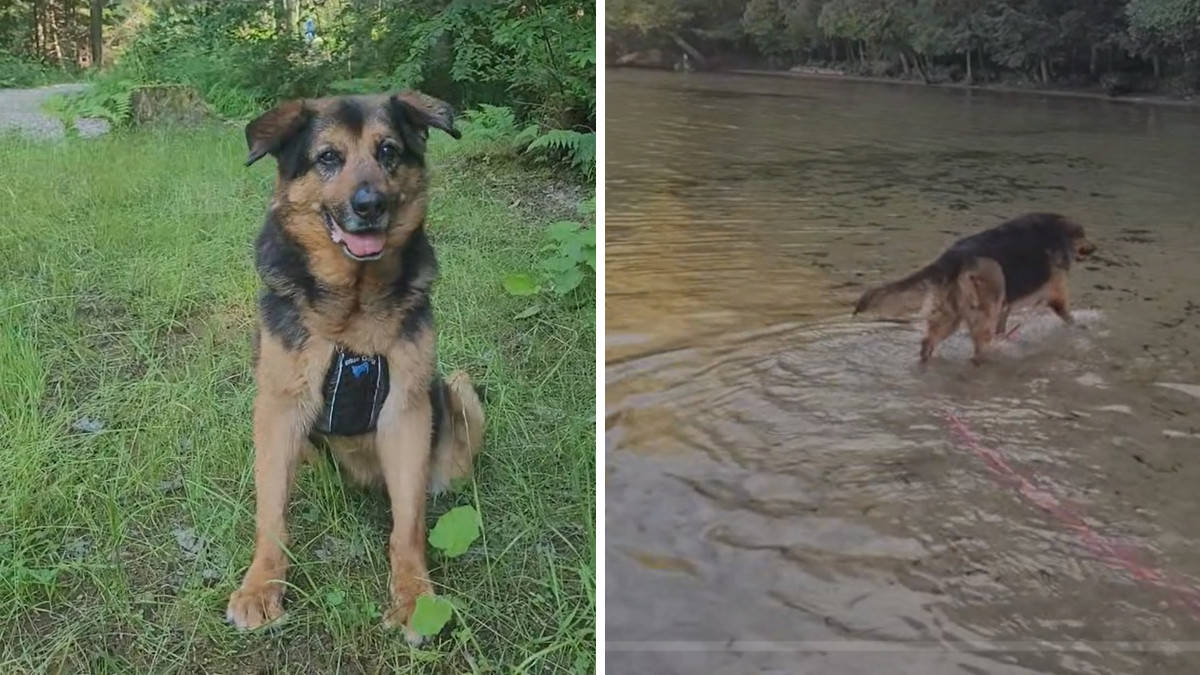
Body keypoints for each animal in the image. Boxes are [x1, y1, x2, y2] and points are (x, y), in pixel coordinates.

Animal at [223, 91, 484, 638]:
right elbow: (271, 515)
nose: (370, 206)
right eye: (328, 157)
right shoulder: (278, 411)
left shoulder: (406, 412)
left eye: (388, 151)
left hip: (456, 395)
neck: (353, 309)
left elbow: (408, 525)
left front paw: (414, 596)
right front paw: (261, 587)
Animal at [854, 213, 1099, 362]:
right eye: (1084, 236)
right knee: (978, 349)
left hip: (951, 315)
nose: (1095, 248)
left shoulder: (1006, 305)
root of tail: (952, 258)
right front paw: (1081, 327)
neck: (1059, 233)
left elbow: (1004, 324)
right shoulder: (1056, 293)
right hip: (984, 304)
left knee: (927, 343)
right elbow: (1069, 315)